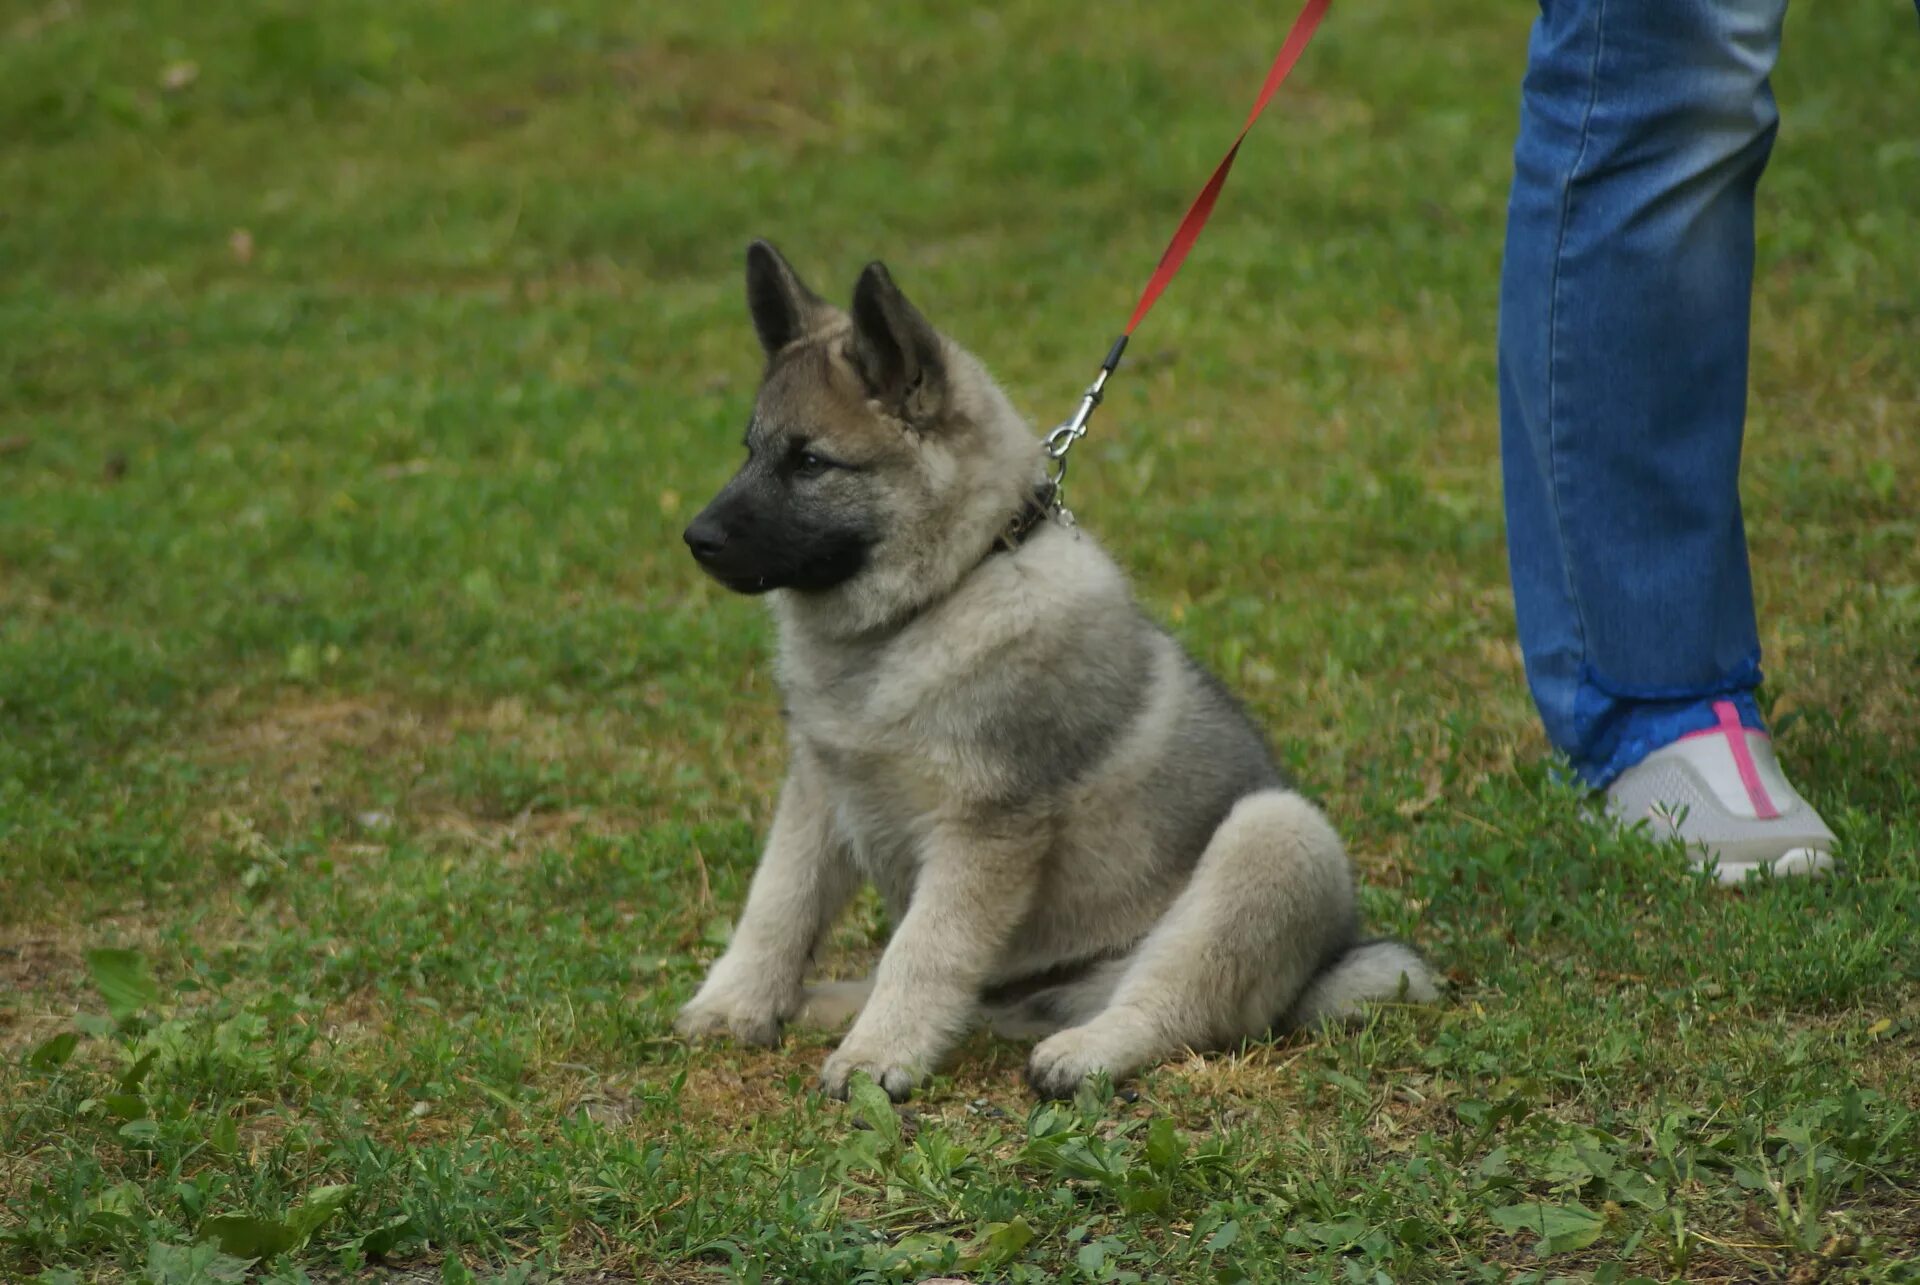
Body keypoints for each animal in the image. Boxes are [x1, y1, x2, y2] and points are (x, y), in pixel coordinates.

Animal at [679, 242, 1443, 1106]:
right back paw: (826, 1001)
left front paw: (876, 1055)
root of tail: (1321, 971)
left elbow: (925, 948)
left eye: (810, 462)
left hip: (1278, 837)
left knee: (1172, 1000)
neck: (939, 598)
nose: (696, 537)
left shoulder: (986, 827)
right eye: (750, 451)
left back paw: (1083, 1051)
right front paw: (736, 1003)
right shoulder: (819, 788)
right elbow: (777, 904)